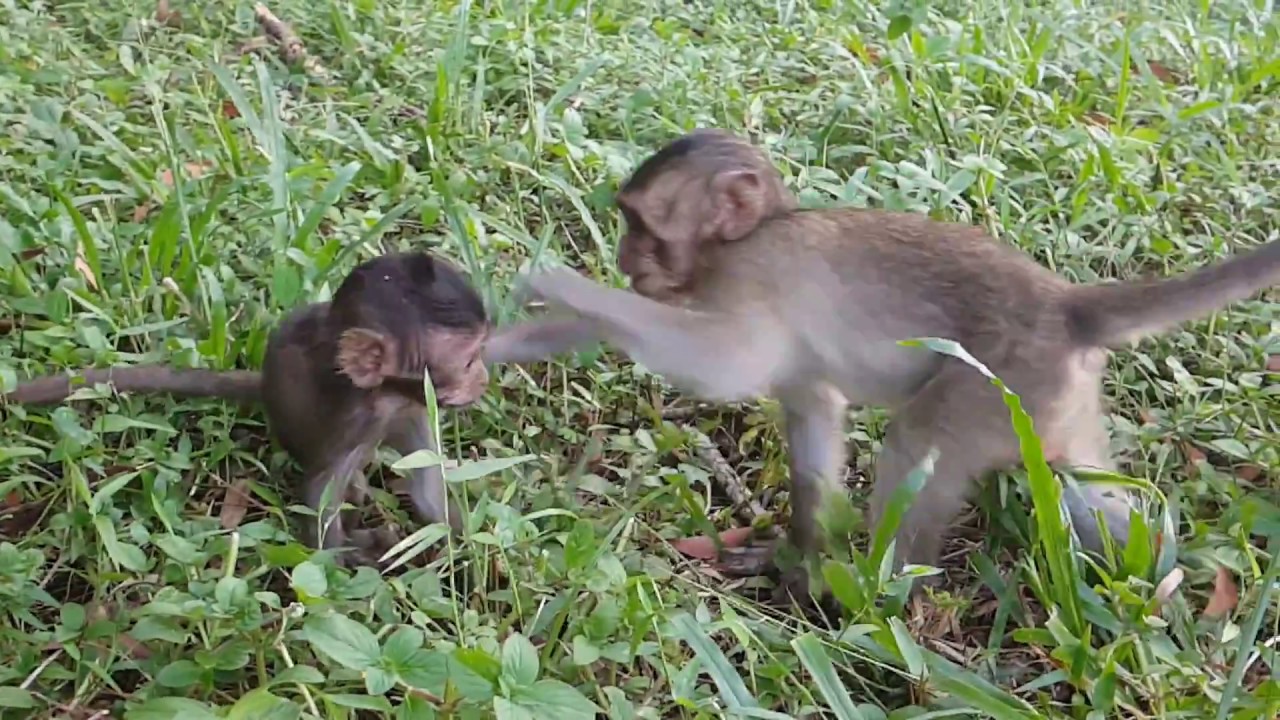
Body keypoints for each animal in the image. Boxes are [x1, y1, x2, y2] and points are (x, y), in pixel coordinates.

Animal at [2, 251, 491, 565]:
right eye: (468, 361)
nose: (484, 378)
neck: (386, 394)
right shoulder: (355, 420)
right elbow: (319, 496)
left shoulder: (409, 407)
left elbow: (426, 492)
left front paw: (472, 541)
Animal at [492, 128, 1280, 601]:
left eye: (643, 226)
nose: (627, 258)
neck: (753, 234)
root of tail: (1065, 307)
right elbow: (813, 415)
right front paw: (796, 554)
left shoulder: (756, 275)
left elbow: (723, 366)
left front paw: (552, 280)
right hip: (1057, 398)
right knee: (1087, 487)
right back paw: (1156, 572)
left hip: (1001, 382)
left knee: (916, 443)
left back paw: (879, 596)